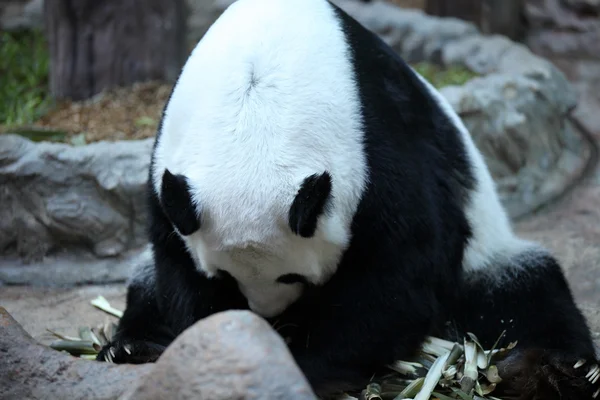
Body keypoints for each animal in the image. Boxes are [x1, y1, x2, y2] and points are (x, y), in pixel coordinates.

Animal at [96, 0, 596, 398]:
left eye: (292, 275)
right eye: (225, 275)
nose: (270, 315)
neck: (255, 106)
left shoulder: (377, 141)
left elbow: (396, 277)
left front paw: (306, 363)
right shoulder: (166, 162)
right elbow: (176, 268)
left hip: (488, 253)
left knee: (521, 289)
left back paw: (550, 369)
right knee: (144, 283)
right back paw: (132, 345)